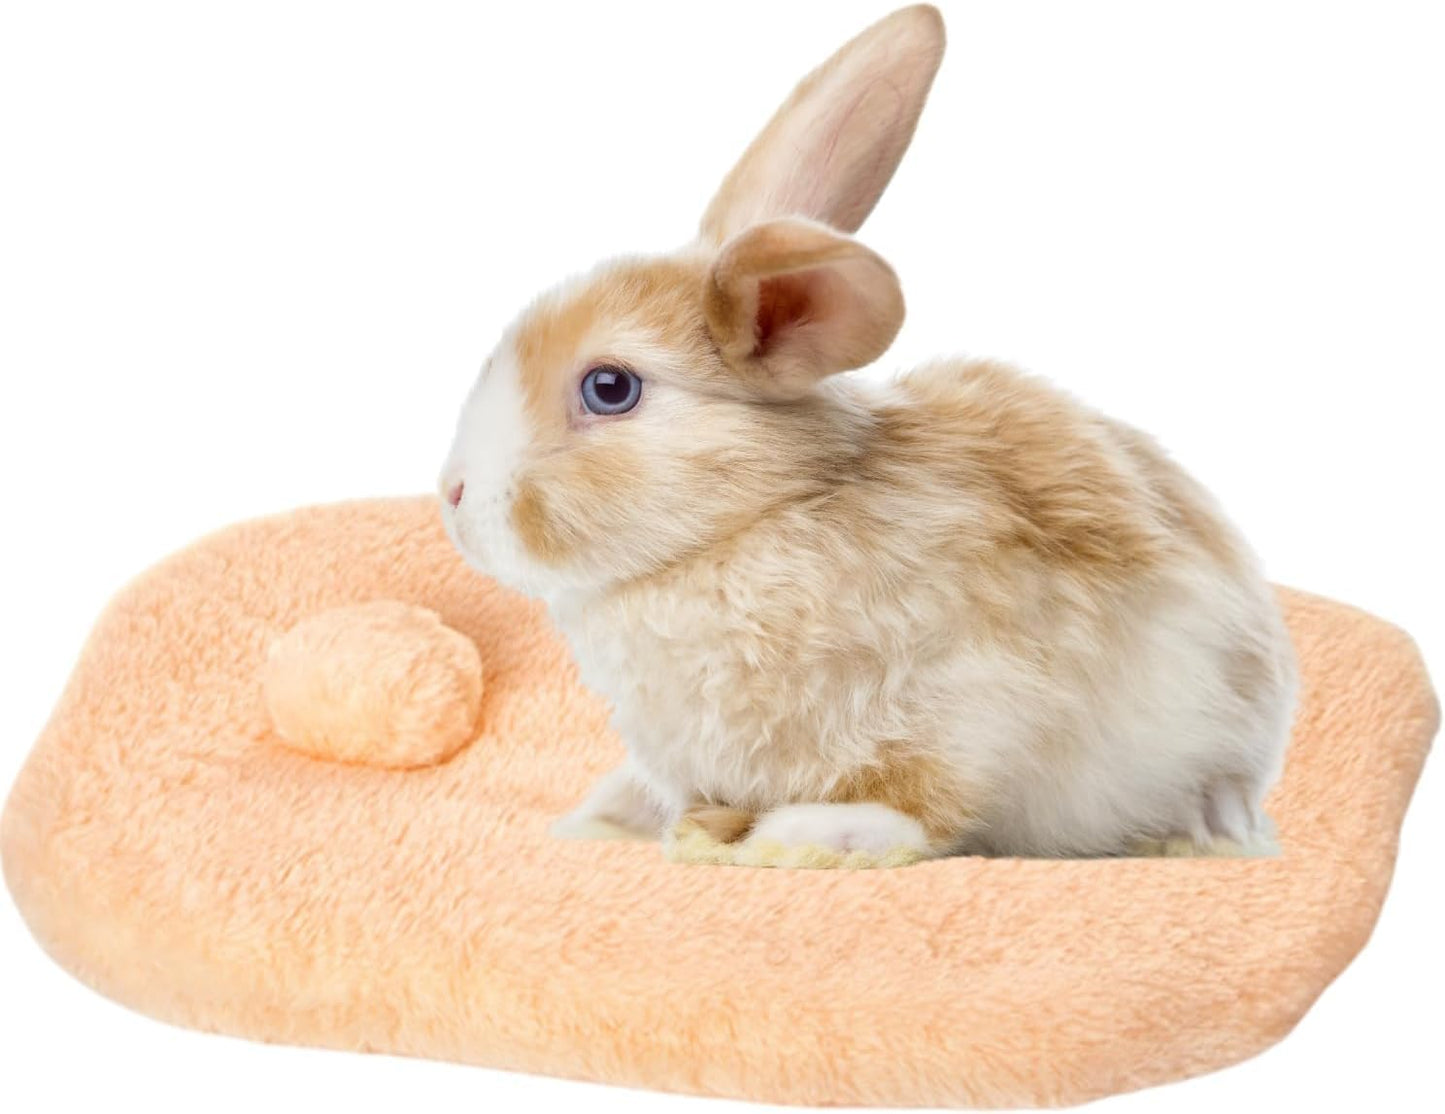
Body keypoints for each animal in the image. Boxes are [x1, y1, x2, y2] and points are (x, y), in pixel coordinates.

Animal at [438, 5, 1297, 859]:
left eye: (609, 388)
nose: (453, 496)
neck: (749, 521)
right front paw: (601, 819)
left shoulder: (972, 705)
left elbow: (919, 801)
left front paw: (807, 835)